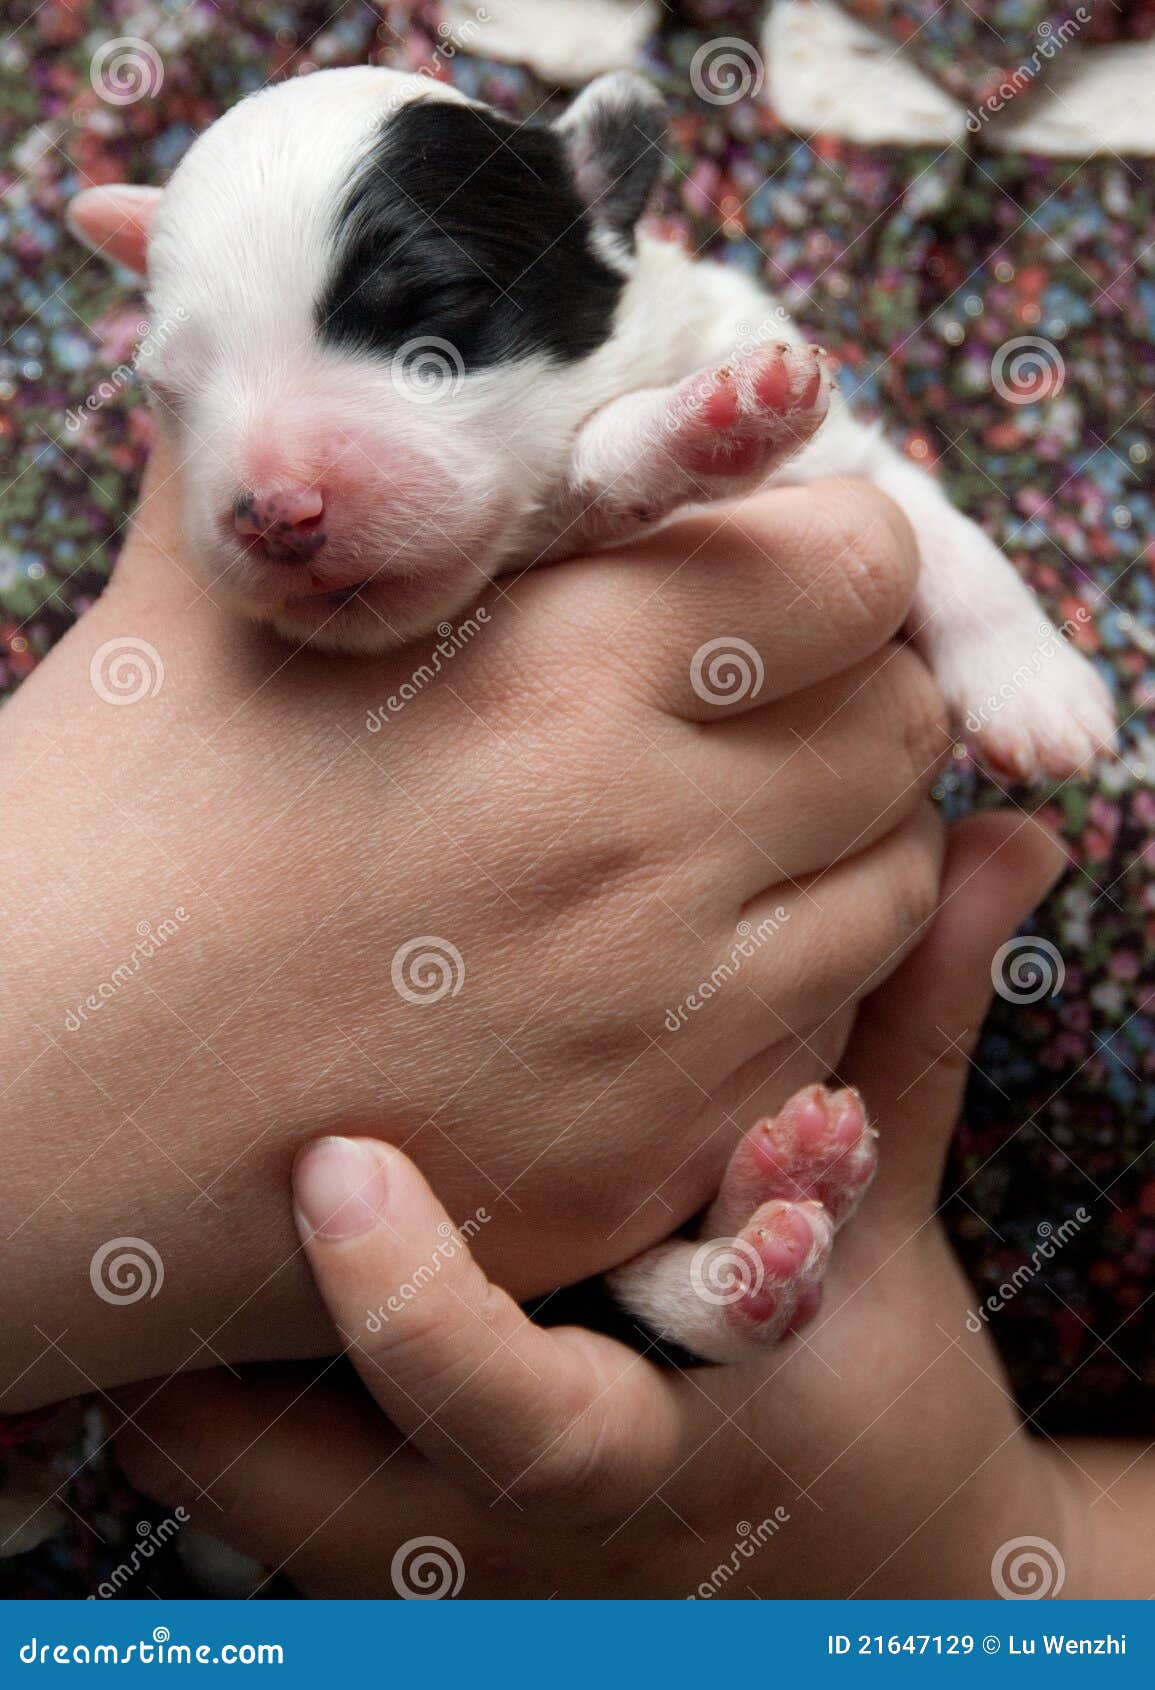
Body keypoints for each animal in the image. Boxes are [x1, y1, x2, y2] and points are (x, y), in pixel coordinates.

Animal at [72, 65, 1122, 1365]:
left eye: (434, 316)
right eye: (172, 392)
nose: (271, 512)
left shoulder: (841, 455)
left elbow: (938, 524)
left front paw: (1040, 687)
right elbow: (601, 460)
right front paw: (707, 424)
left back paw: (788, 1197)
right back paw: (755, 1258)